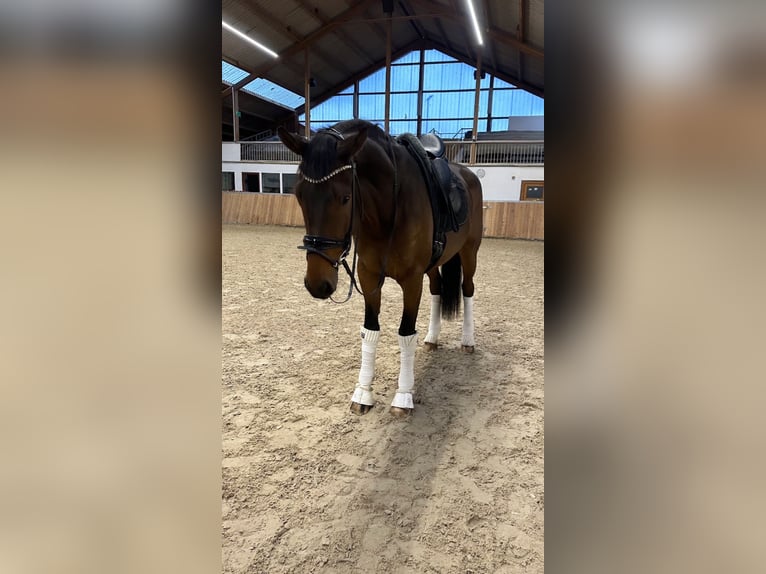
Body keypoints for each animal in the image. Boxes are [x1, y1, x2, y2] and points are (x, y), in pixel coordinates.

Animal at [280, 120, 486, 418]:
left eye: (345, 197)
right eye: (299, 196)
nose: (317, 284)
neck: (387, 210)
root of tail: (467, 173)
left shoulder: (411, 281)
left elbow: (405, 334)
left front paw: (403, 397)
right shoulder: (368, 277)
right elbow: (370, 331)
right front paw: (363, 393)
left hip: (469, 252)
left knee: (468, 289)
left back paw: (468, 341)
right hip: (434, 264)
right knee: (437, 289)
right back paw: (432, 338)